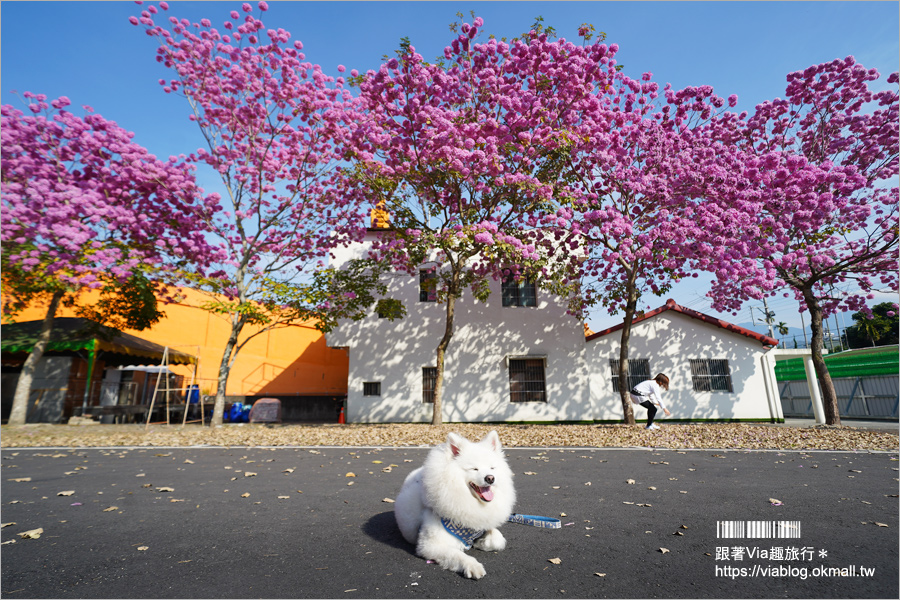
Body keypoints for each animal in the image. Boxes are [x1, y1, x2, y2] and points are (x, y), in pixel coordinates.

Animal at [392, 432, 512, 580]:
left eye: (492, 468)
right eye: (474, 469)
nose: (490, 478)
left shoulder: (483, 524)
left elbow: (497, 538)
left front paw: (481, 542)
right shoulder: (430, 545)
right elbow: (457, 554)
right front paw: (473, 566)